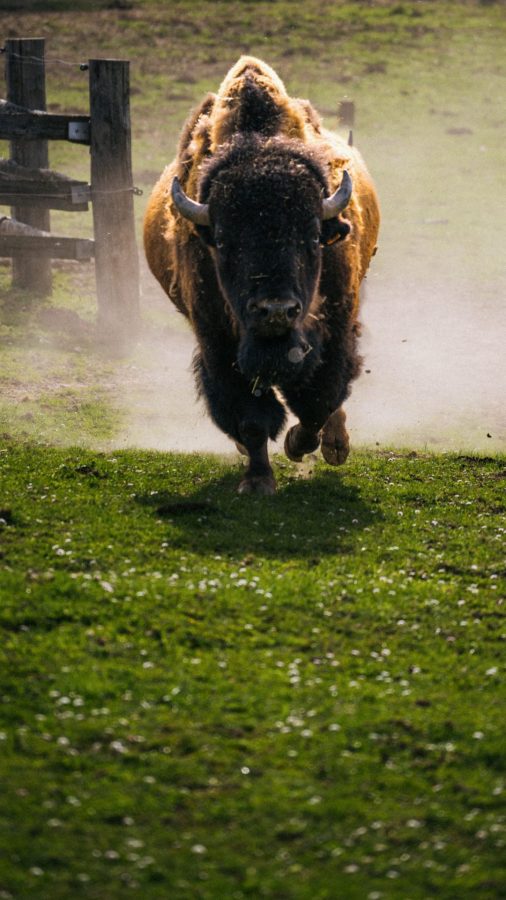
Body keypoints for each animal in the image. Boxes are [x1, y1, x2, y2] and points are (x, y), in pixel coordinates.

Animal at [144, 57, 380, 494]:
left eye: (312, 235)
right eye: (223, 240)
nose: (275, 311)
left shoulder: (335, 331)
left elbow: (319, 400)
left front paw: (298, 445)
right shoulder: (218, 345)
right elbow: (250, 417)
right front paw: (257, 481)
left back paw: (335, 446)